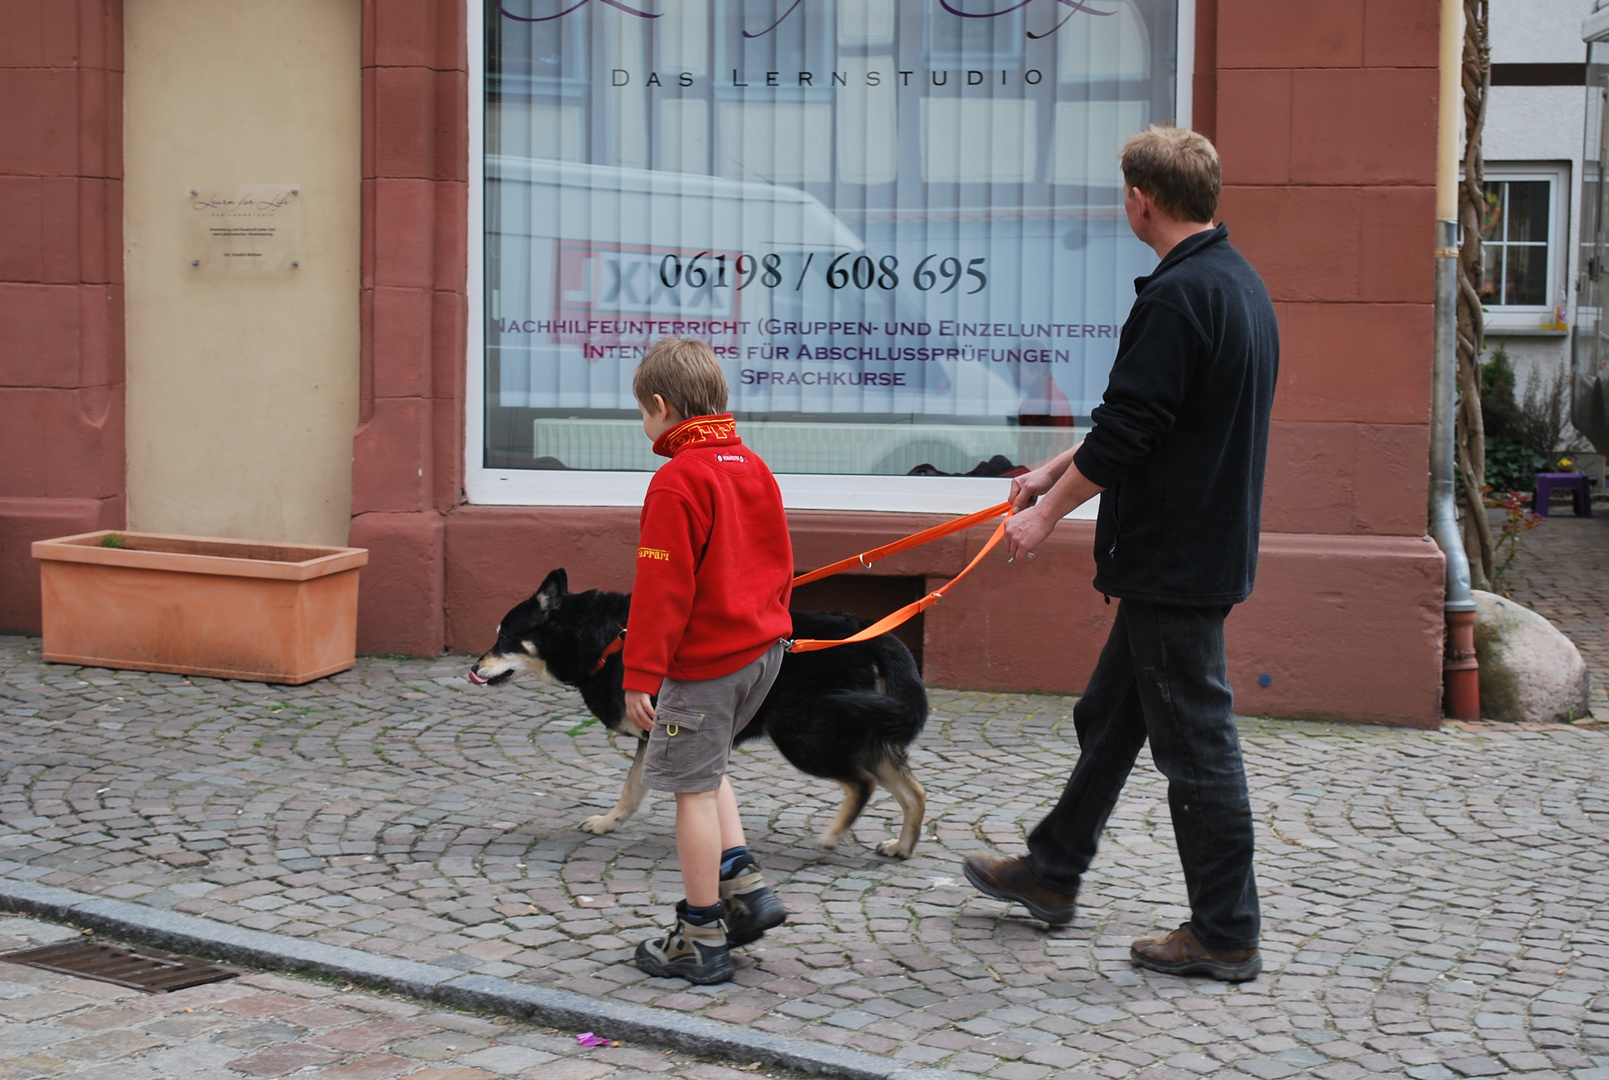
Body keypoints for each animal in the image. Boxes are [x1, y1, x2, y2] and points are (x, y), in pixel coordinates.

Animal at [466, 569, 933, 856]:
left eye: (505, 637)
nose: (474, 668)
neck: (610, 638)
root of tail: (873, 635)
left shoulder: (668, 735)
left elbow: (641, 788)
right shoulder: (657, 737)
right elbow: (633, 790)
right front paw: (609, 823)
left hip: (805, 735)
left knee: (863, 783)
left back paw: (835, 834)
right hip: (863, 731)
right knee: (914, 791)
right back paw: (902, 848)